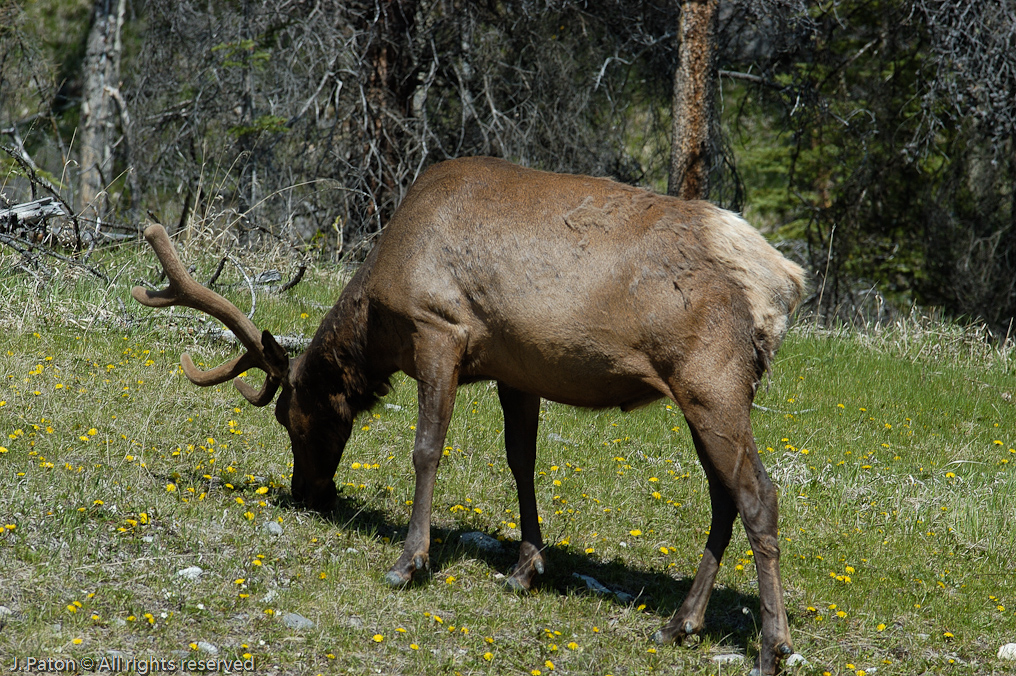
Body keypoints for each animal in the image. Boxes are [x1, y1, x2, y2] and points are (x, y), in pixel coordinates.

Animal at [132, 156, 805, 675]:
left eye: (293, 417)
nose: (308, 493)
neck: (379, 322)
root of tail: (784, 283)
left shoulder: (440, 331)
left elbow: (426, 448)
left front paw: (409, 561)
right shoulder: (517, 369)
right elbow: (520, 460)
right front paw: (526, 568)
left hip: (712, 381)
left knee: (759, 496)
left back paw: (772, 647)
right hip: (701, 397)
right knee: (724, 497)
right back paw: (679, 623)